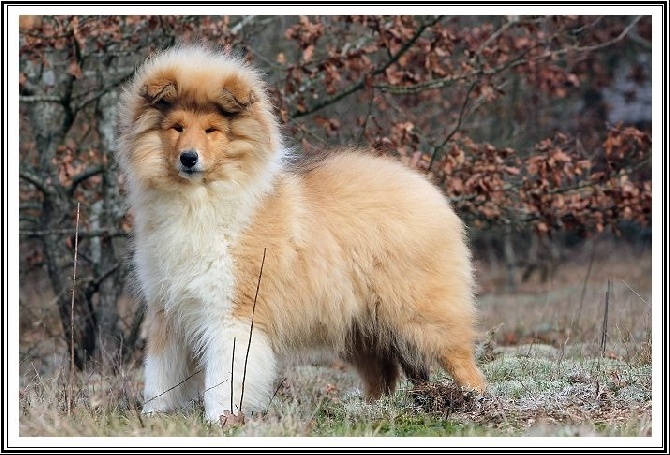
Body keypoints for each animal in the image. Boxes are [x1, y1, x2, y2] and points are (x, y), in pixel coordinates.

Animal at [118, 44, 486, 422]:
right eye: (176, 127)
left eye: (211, 130)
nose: (188, 158)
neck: (200, 200)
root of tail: (429, 190)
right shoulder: (168, 311)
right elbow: (161, 376)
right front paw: (153, 417)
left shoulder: (231, 312)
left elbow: (224, 375)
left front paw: (220, 419)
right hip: (362, 329)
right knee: (383, 377)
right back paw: (369, 413)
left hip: (423, 316)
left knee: (465, 366)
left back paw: (475, 406)